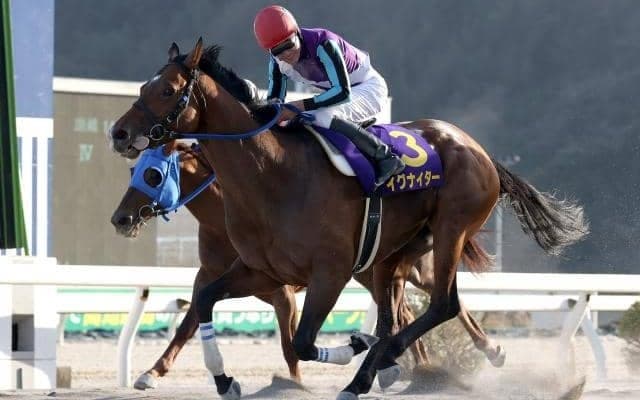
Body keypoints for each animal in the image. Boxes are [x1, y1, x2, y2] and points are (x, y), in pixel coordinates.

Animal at [110, 141, 506, 390]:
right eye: (133, 170)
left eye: (153, 174)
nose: (121, 218)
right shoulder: (210, 277)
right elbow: (188, 323)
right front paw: (152, 372)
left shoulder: (283, 291)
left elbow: (289, 343)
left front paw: (295, 383)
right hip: (376, 271)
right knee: (407, 311)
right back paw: (408, 366)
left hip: (407, 264)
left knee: (442, 302)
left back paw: (477, 352)